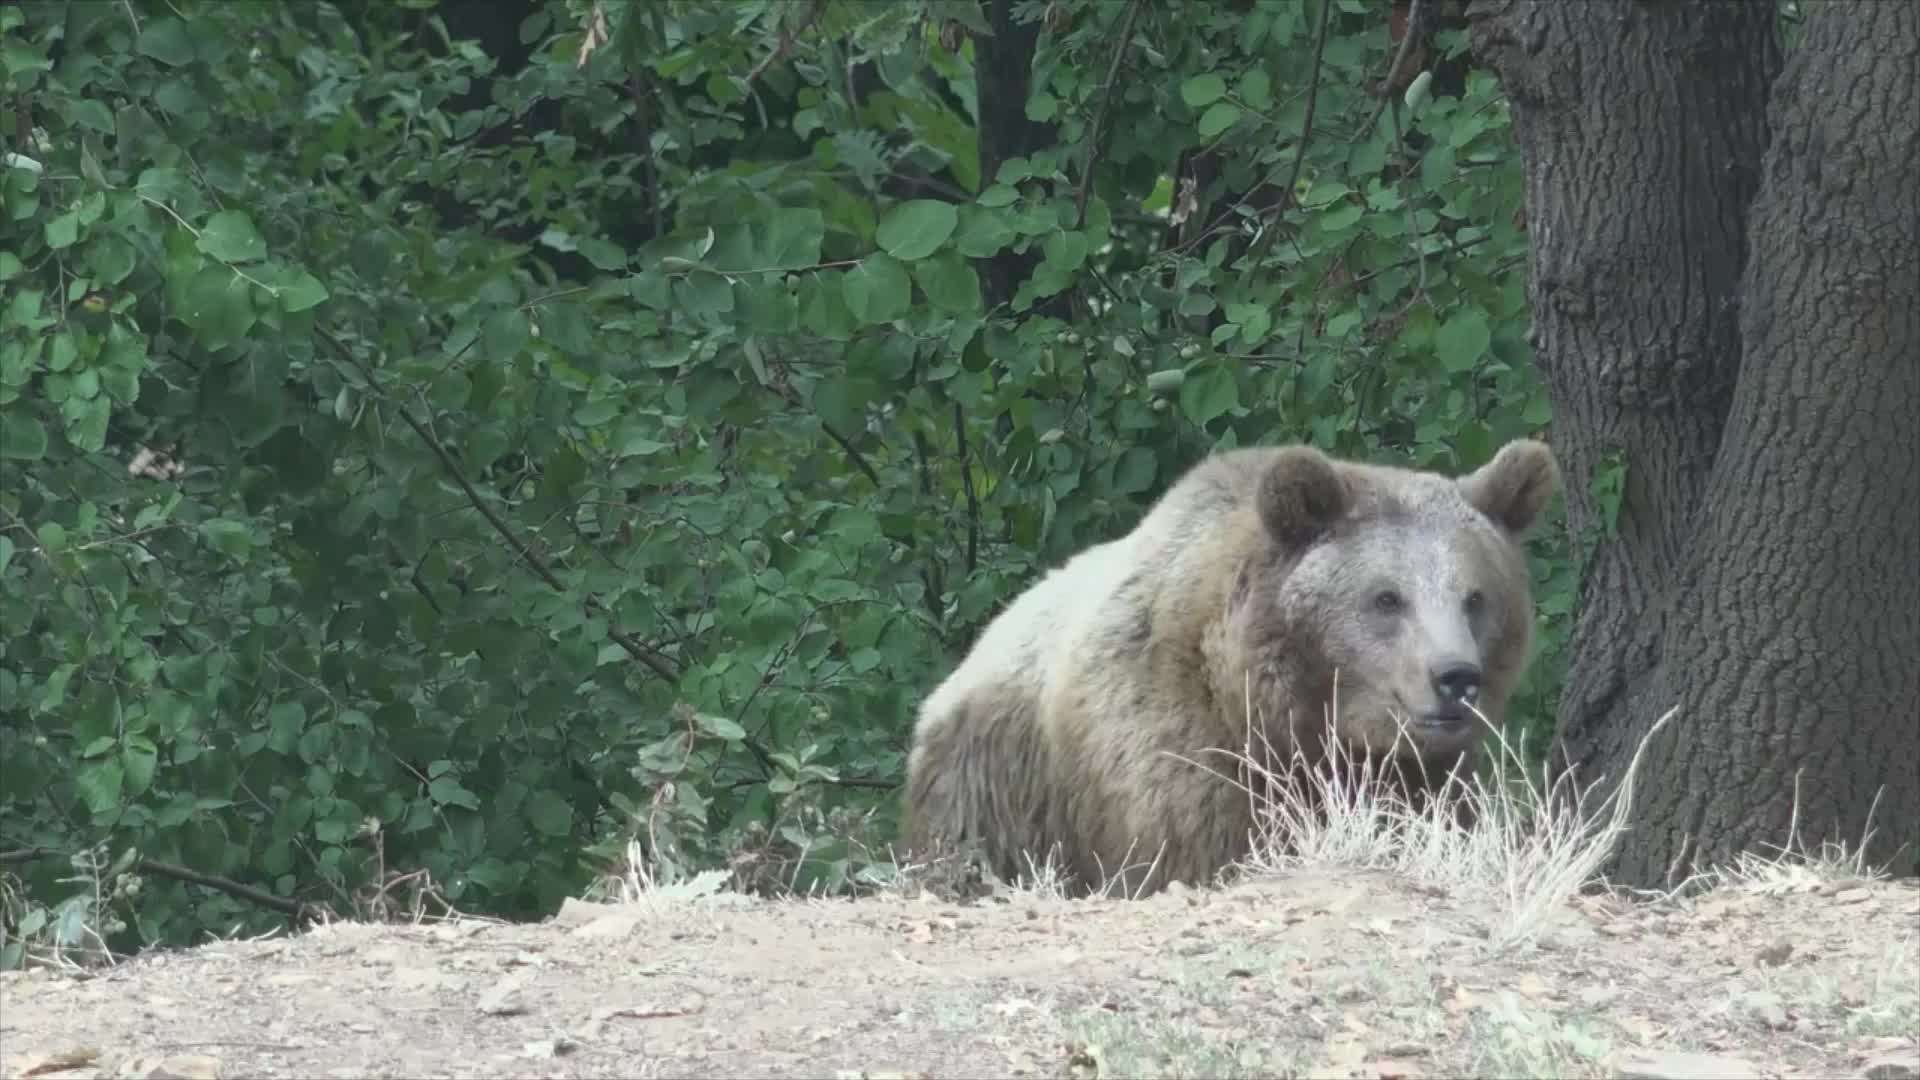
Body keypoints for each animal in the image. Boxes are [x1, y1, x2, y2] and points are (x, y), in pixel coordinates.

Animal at [898, 434, 1559, 891]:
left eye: (1475, 597)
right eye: (1387, 597)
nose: (1456, 678)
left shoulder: (1424, 776)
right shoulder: (1174, 757)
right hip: (994, 780)